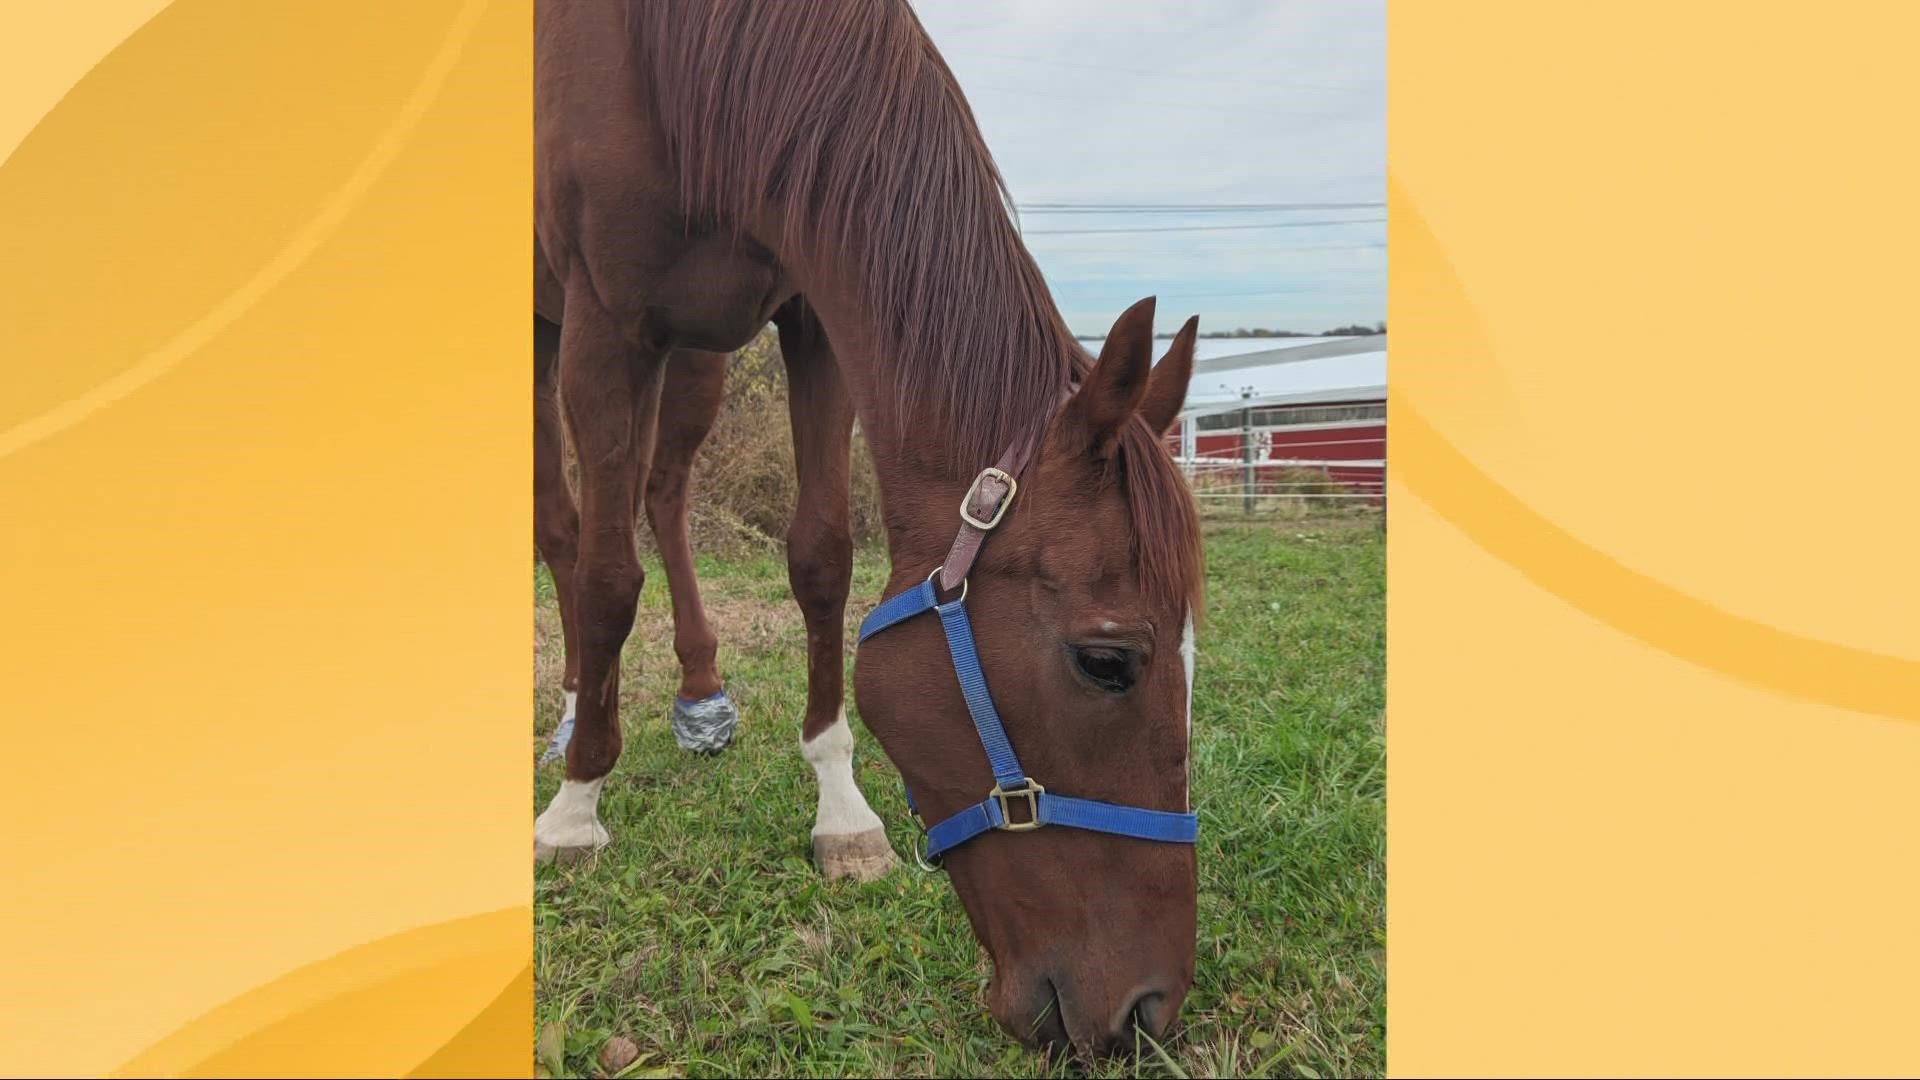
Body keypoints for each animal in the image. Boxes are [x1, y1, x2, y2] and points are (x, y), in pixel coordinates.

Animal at [533, 0, 1198, 1053]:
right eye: (1107, 661)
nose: (1148, 1011)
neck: (677, 58)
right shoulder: (604, 326)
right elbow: (605, 581)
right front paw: (573, 811)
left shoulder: (812, 316)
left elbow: (821, 560)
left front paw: (842, 812)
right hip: (553, 333)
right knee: (565, 528)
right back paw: (570, 717)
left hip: (695, 353)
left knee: (663, 490)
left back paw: (700, 694)